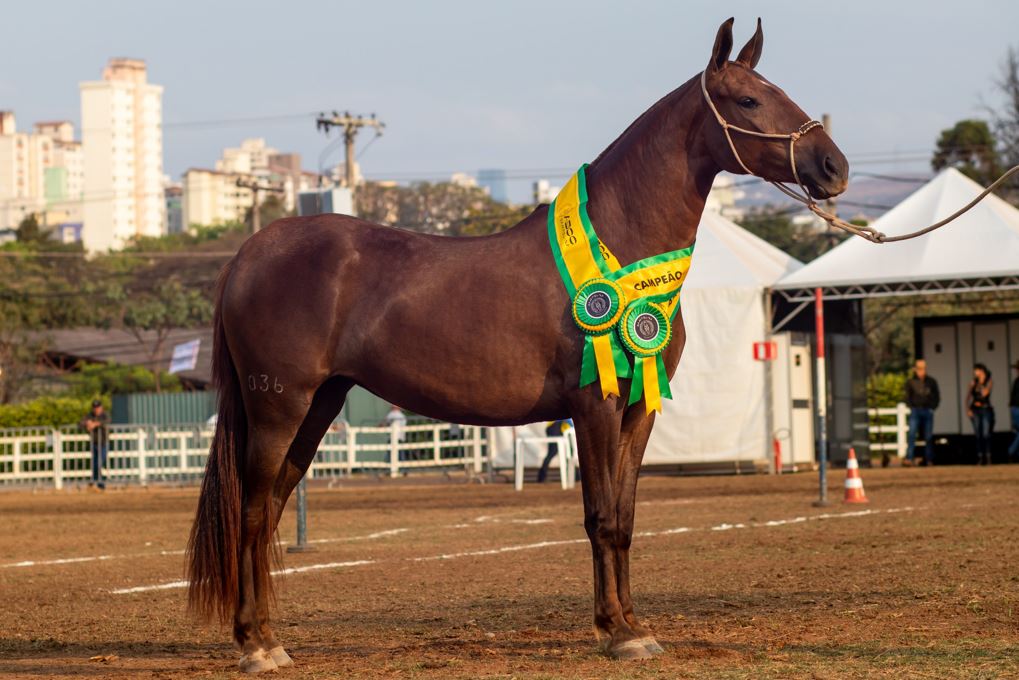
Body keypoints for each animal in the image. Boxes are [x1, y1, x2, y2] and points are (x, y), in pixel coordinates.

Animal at [187, 17, 849, 672]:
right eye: (748, 100)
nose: (833, 166)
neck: (619, 243)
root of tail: (250, 253)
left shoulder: (639, 410)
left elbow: (626, 518)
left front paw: (635, 625)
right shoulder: (595, 406)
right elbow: (600, 516)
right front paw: (616, 632)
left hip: (319, 405)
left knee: (271, 510)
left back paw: (267, 637)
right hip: (279, 407)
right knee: (251, 512)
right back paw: (255, 646)